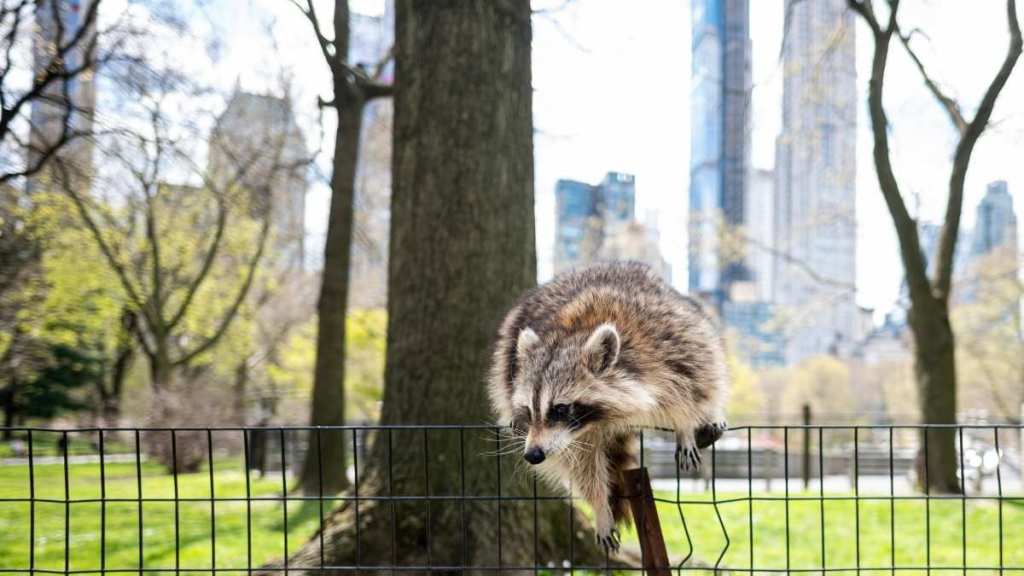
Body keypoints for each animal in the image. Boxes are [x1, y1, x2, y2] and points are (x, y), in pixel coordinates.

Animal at [488, 262, 729, 553]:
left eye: (560, 408)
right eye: (528, 409)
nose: (533, 455)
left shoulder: (667, 342)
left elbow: (690, 383)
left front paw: (684, 425)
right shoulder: (575, 436)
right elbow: (583, 465)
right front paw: (600, 506)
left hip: (690, 318)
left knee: (710, 364)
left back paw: (711, 414)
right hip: (508, 351)